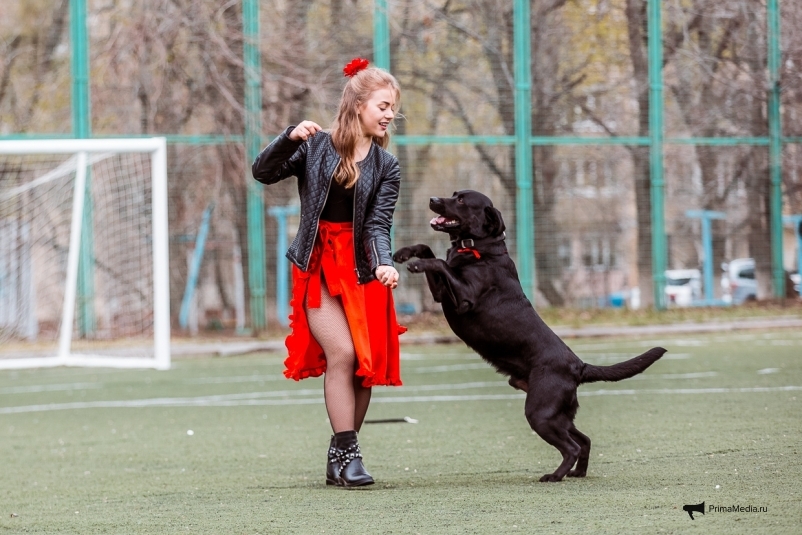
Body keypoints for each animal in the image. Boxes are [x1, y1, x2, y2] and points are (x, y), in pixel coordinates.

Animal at [392, 191, 664, 484]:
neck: (478, 249)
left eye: (462, 201)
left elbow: (440, 262)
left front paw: (416, 263)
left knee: (571, 446)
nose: (433, 199)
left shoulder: (463, 299)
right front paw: (405, 252)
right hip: (557, 414)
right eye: (453, 194)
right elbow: (430, 250)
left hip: (540, 412)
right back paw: (578, 473)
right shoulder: (441, 294)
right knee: (584, 440)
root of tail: (579, 366)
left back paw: (555, 476)